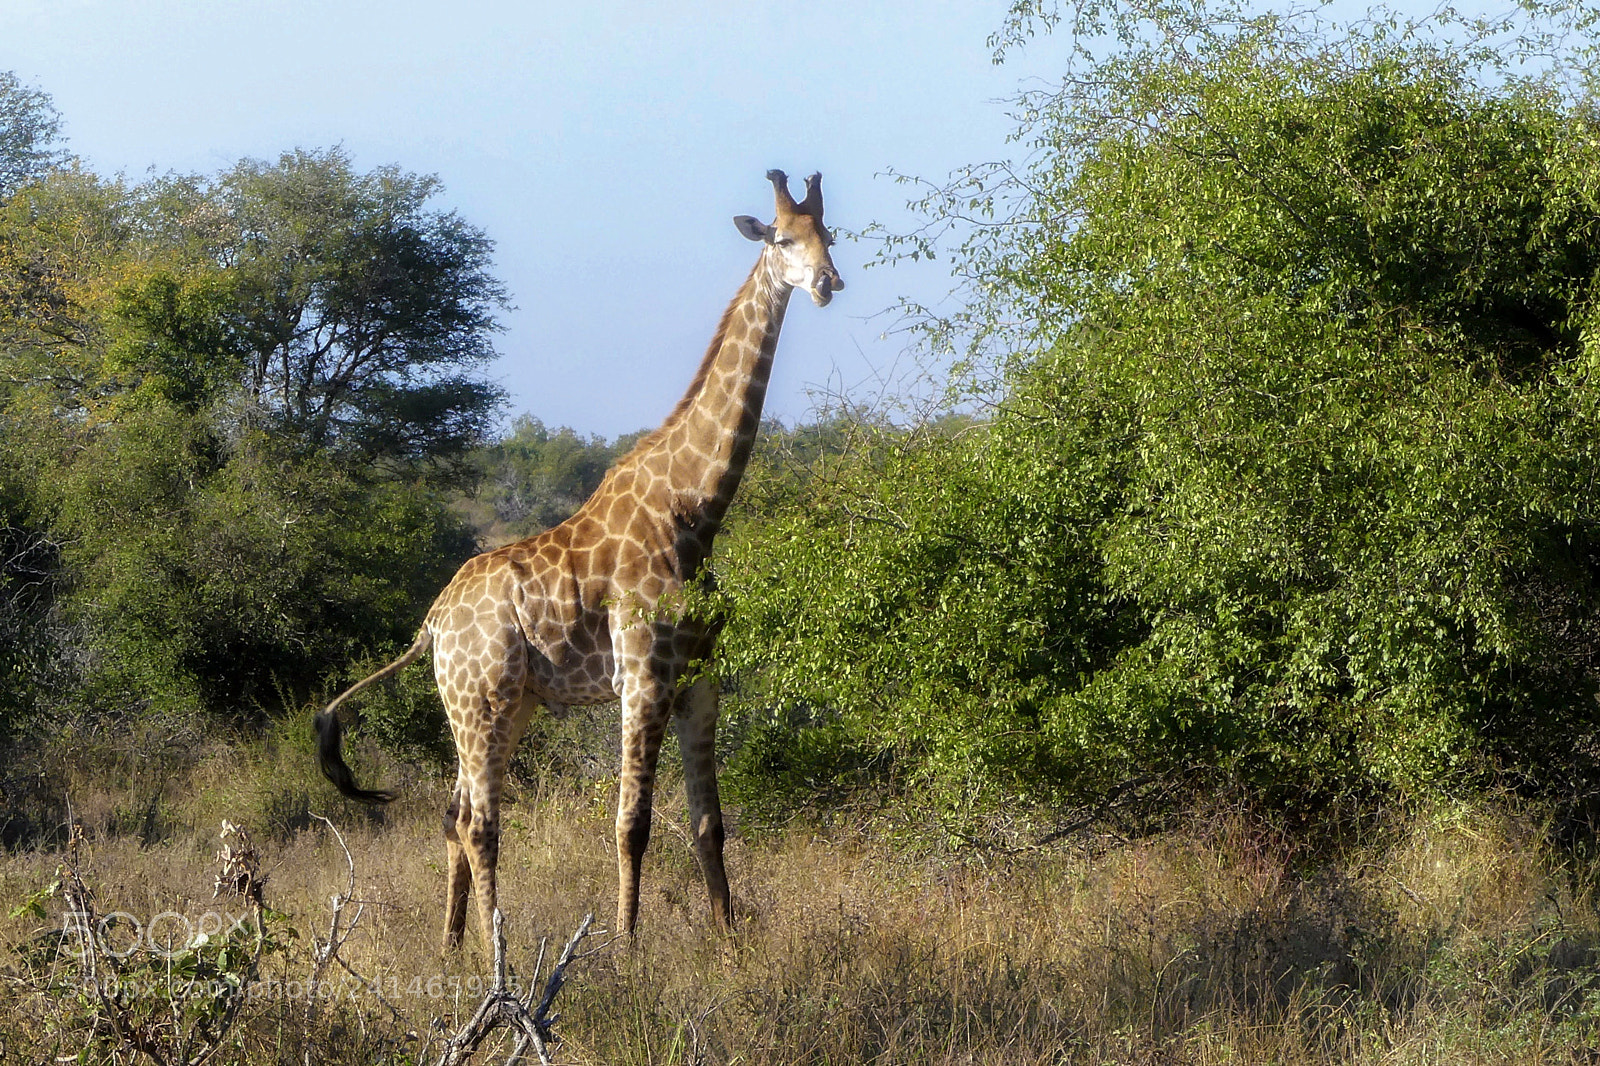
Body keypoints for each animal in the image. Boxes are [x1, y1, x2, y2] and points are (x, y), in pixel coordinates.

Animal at [315, 169, 843, 951]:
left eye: (828, 235)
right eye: (781, 239)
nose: (830, 282)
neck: (696, 509)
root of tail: (432, 624)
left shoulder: (700, 683)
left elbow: (710, 825)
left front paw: (729, 942)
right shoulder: (644, 679)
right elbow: (632, 825)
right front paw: (627, 949)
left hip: (505, 705)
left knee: (452, 815)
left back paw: (450, 947)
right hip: (481, 701)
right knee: (481, 823)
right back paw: (493, 948)